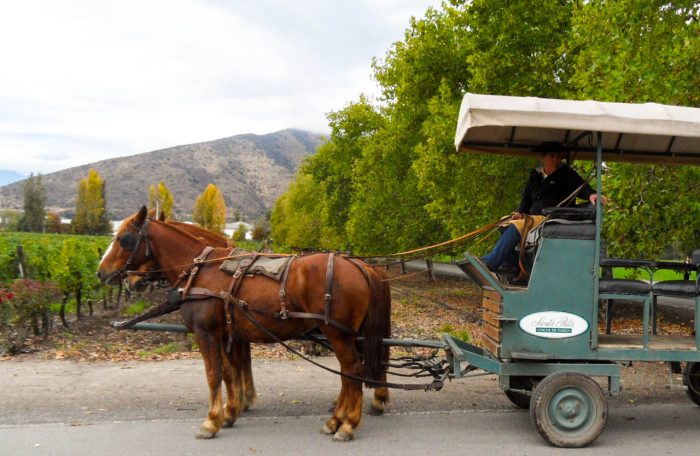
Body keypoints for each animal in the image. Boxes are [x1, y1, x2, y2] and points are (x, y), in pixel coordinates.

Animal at [98, 206, 391, 441]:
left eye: (124, 238)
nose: (101, 273)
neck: (202, 270)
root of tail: (361, 266)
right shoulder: (229, 334)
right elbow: (231, 371)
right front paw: (231, 411)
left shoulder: (206, 334)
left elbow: (214, 374)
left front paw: (212, 420)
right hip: (346, 334)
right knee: (349, 373)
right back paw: (337, 420)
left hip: (337, 334)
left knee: (352, 370)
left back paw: (348, 424)